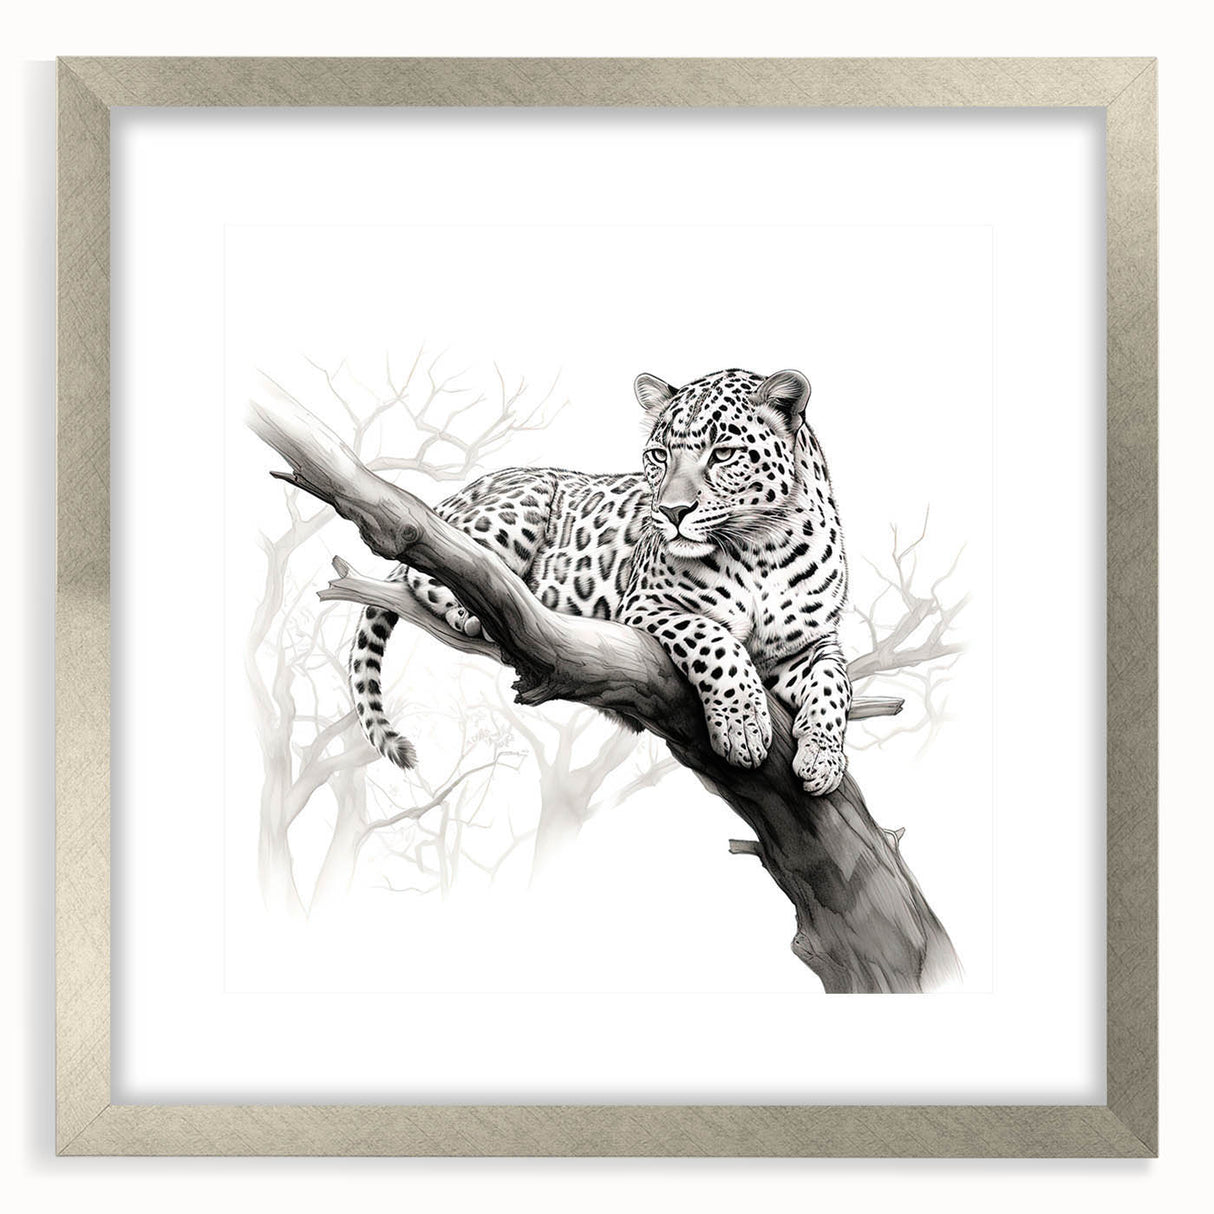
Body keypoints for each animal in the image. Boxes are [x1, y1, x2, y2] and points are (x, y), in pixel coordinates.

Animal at [348, 367, 852, 795]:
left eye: (723, 454)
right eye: (659, 455)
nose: (671, 512)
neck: (762, 551)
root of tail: (456, 494)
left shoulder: (811, 641)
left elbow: (834, 683)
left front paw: (823, 759)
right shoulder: (646, 604)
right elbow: (715, 641)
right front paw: (742, 726)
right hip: (516, 508)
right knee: (437, 564)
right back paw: (475, 609)